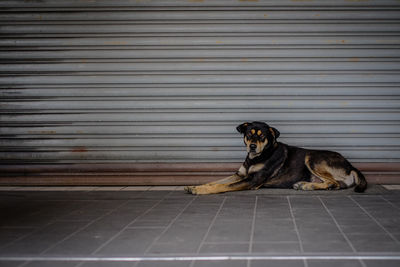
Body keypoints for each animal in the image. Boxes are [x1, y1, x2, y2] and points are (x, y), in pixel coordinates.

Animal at [186, 121, 368, 195]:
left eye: (262, 136)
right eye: (249, 134)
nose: (252, 146)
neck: (257, 157)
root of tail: (350, 165)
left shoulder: (252, 180)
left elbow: (221, 186)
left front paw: (201, 190)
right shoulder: (240, 175)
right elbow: (215, 181)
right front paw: (197, 185)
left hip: (312, 157)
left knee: (333, 183)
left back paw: (306, 186)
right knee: (334, 185)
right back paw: (305, 185)